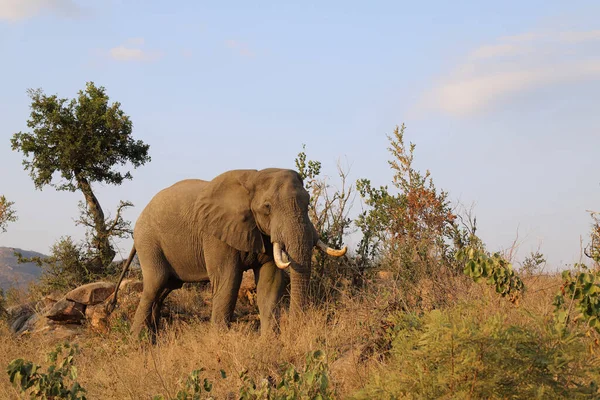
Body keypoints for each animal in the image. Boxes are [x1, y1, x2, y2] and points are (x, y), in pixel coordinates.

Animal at [105, 168, 344, 338]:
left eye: (308, 202)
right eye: (267, 207)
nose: (297, 328)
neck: (253, 178)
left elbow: (270, 283)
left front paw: (270, 342)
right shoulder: (215, 234)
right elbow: (228, 280)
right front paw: (219, 341)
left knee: (166, 287)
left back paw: (154, 342)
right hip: (149, 241)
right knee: (154, 285)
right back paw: (138, 343)